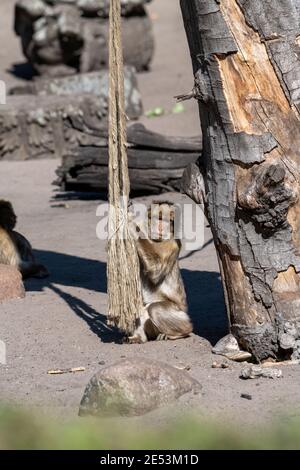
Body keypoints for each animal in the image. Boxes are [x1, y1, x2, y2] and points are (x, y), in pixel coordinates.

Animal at [126, 200, 192, 344]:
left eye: (168, 220)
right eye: (159, 218)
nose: (161, 228)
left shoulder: (173, 244)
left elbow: (155, 270)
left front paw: (132, 226)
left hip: (181, 316)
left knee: (154, 308)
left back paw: (180, 333)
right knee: (139, 306)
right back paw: (139, 338)